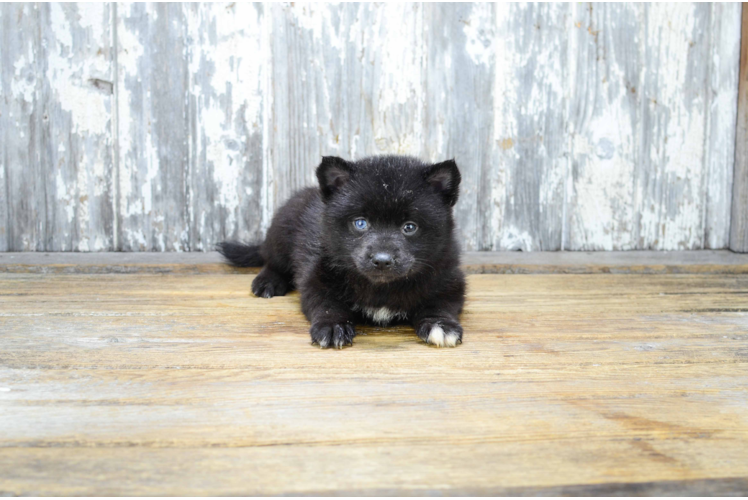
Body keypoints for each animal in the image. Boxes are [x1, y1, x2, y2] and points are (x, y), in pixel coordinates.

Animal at [216, 155, 464, 348]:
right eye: (360, 223)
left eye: (410, 227)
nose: (382, 261)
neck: (381, 288)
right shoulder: (315, 278)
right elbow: (327, 305)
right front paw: (333, 326)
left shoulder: (449, 280)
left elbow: (439, 305)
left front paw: (440, 325)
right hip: (281, 233)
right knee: (272, 261)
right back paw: (267, 282)